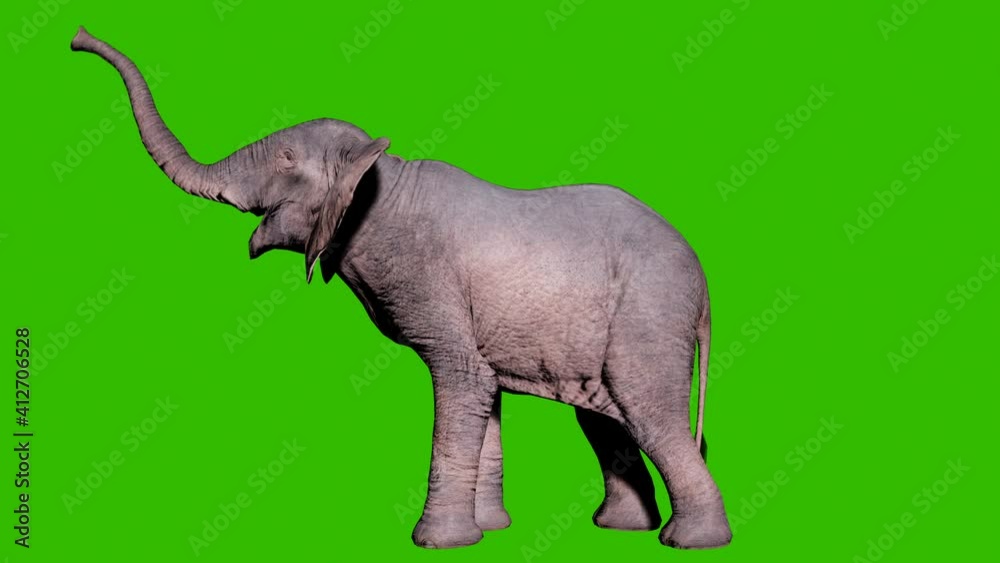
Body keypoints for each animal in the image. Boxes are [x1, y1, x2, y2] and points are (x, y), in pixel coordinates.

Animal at [70, 27, 732, 550]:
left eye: (286, 158)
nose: (78, 39)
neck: (380, 174)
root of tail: (703, 283)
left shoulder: (433, 284)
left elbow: (461, 379)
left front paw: (438, 544)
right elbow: (484, 392)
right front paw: (489, 532)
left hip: (647, 317)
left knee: (648, 411)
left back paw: (688, 542)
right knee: (606, 419)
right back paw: (621, 529)